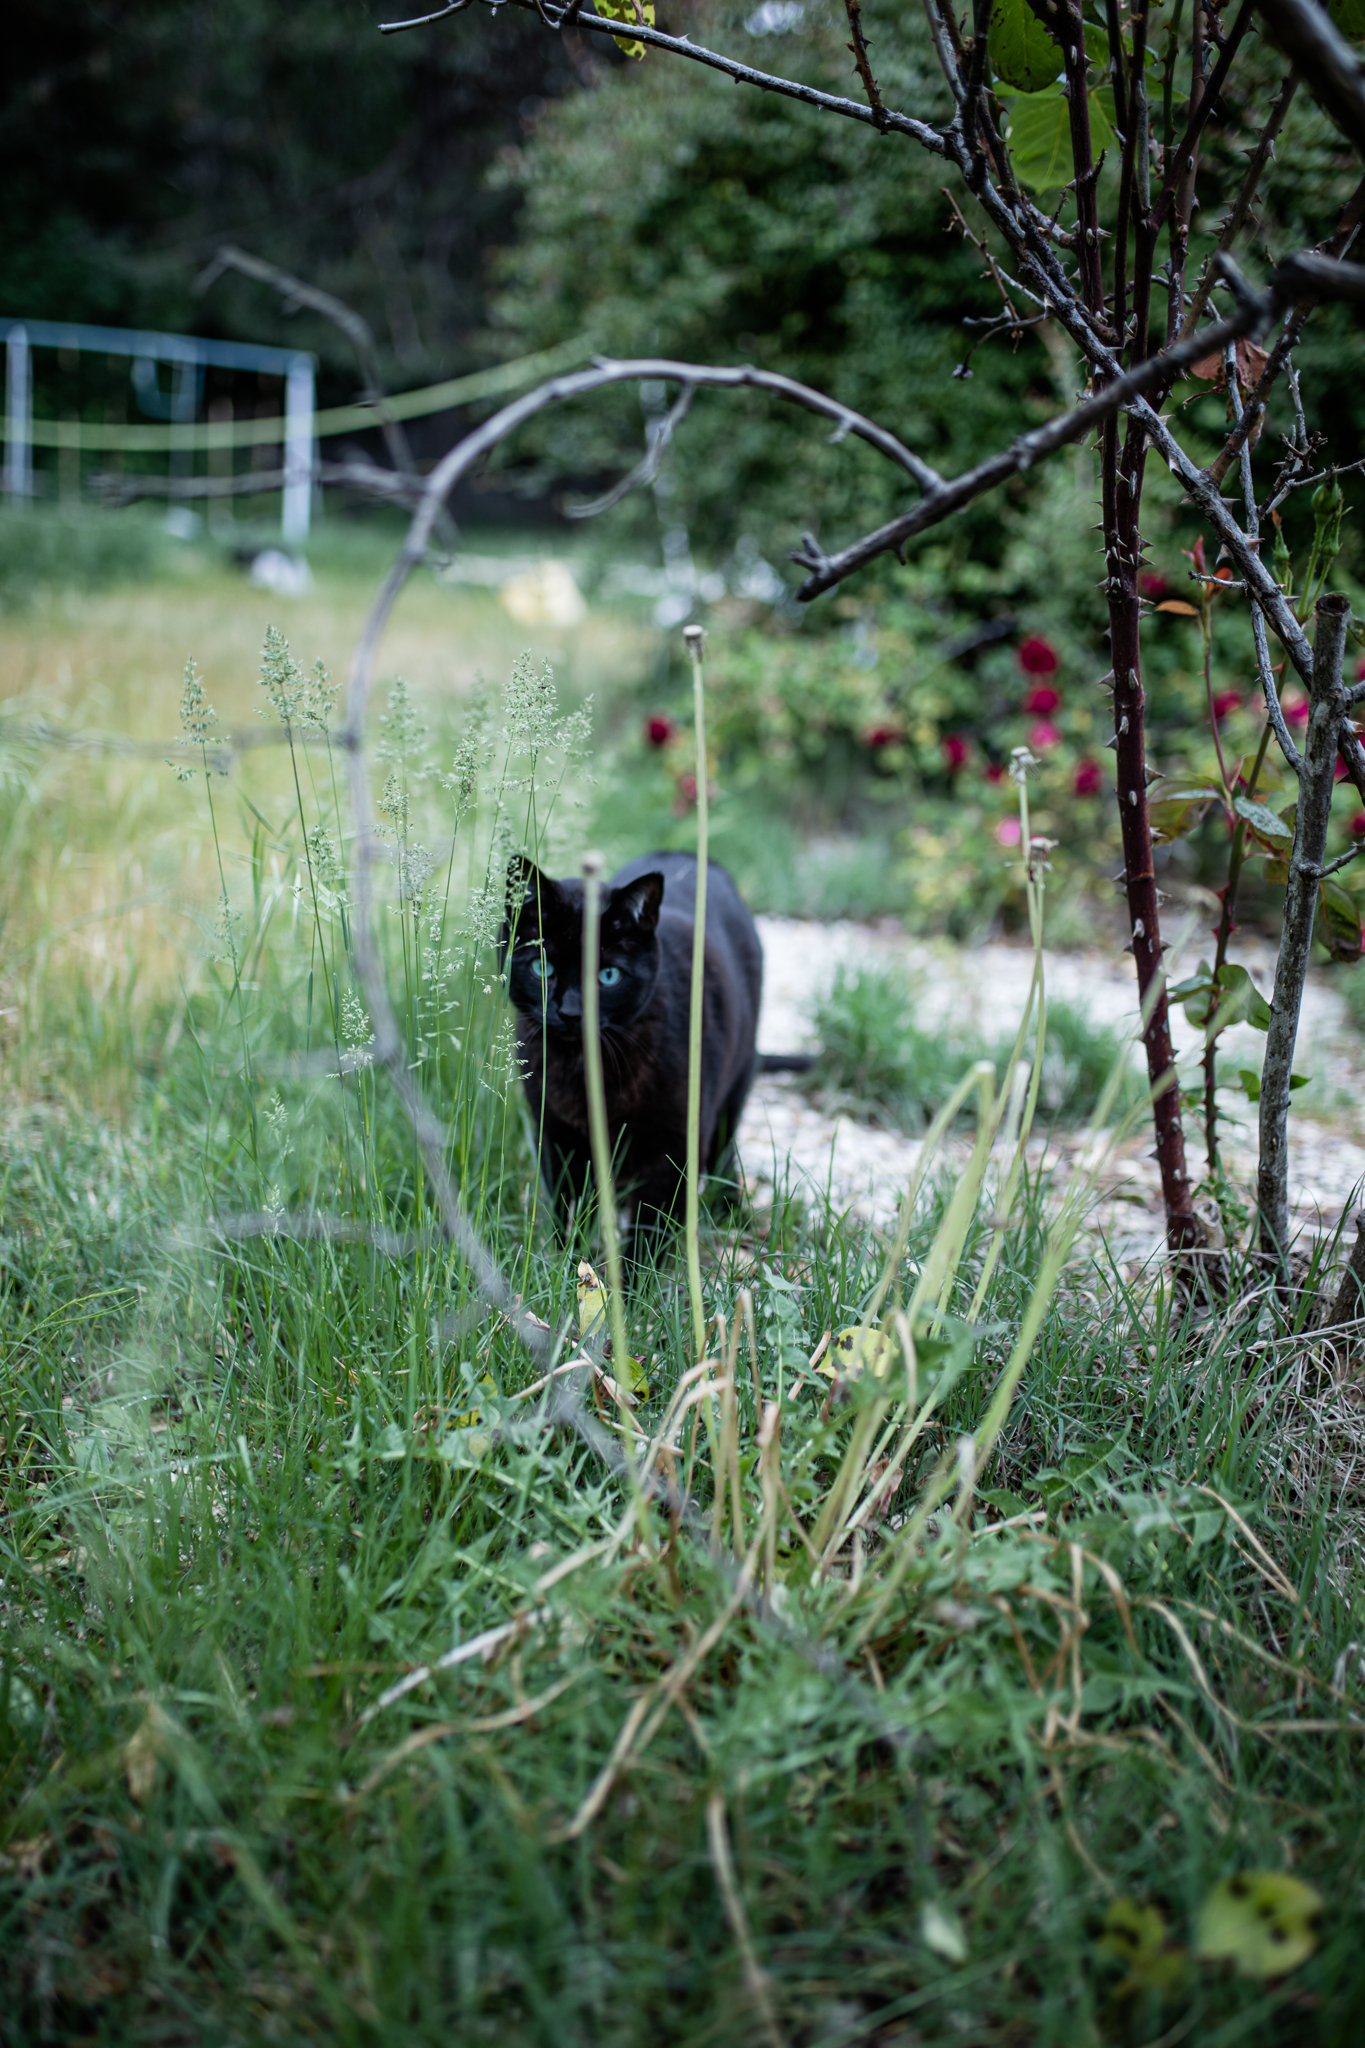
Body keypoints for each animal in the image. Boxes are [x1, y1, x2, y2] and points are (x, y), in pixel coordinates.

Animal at [499, 843, 765, 1245]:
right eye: (542, 968)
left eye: (608, 976)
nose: (570, 1011)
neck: (583, 1072)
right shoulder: (558, 1138)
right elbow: (568, 1208)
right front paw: (564, 1256)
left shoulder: (673, 1148)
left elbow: (653, 1225)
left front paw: (637, 1263)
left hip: (735, 1084)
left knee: (724, 1147)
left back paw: (729, 1206)